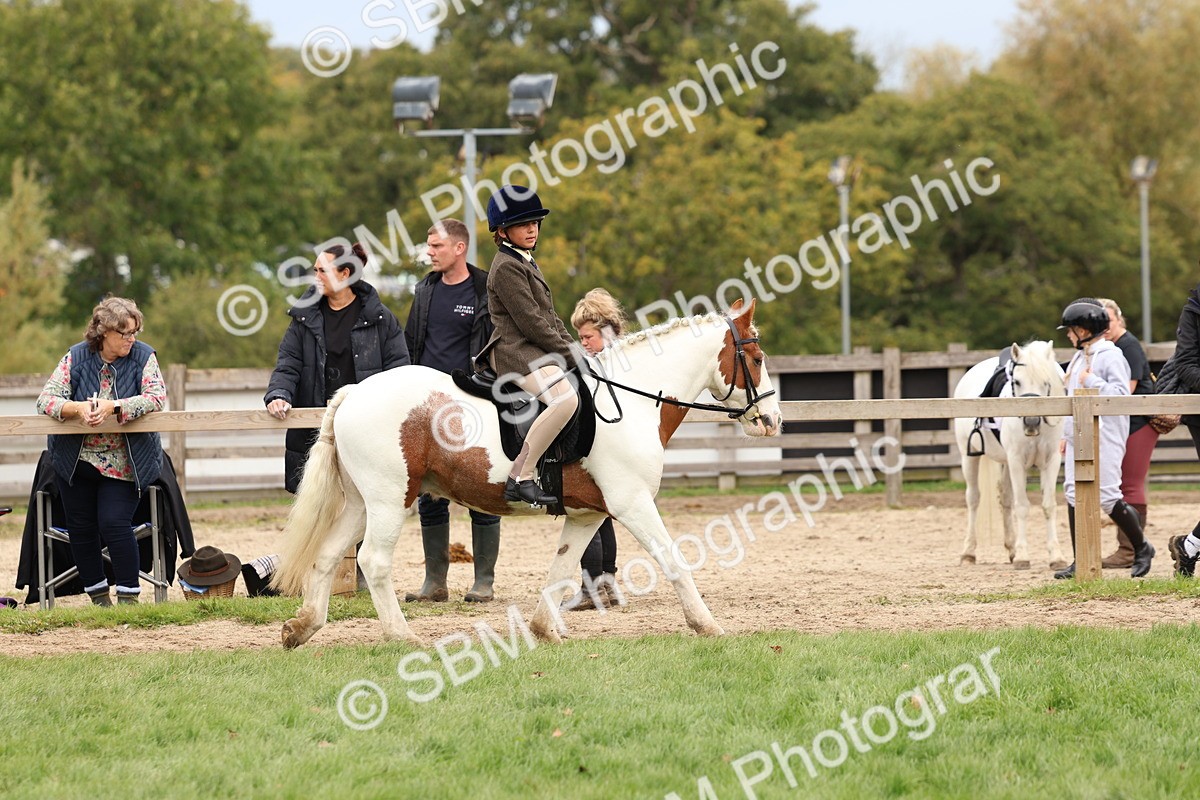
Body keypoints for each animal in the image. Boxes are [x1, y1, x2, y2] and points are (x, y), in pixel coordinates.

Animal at [272, 299, 783, 648]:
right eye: (757, 359)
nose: (772, 420)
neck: (632, 400)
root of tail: (354, 392)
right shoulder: (633, 503)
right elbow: (674, 560)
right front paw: (707, 625)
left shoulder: (587, 514)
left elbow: (561, 569)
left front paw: (543, 630)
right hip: (390, 498)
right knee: (373, 561)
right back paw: (403, 637)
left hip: (363, 502)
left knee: (327, 555)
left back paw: (302, 628)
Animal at [952, 340, 1068, 570]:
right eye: (1017, 381)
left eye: (1046, 382)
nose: (1031, 422)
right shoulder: (1017, 461)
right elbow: (1022, 506)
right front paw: (1023, 556)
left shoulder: (1051, 461)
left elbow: (1049, 505)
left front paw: (1056, 557)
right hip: (969, 457)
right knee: (973, 499)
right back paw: (968, 553)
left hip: (1004, 462)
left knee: (1004, 498)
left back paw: (1011, 548)